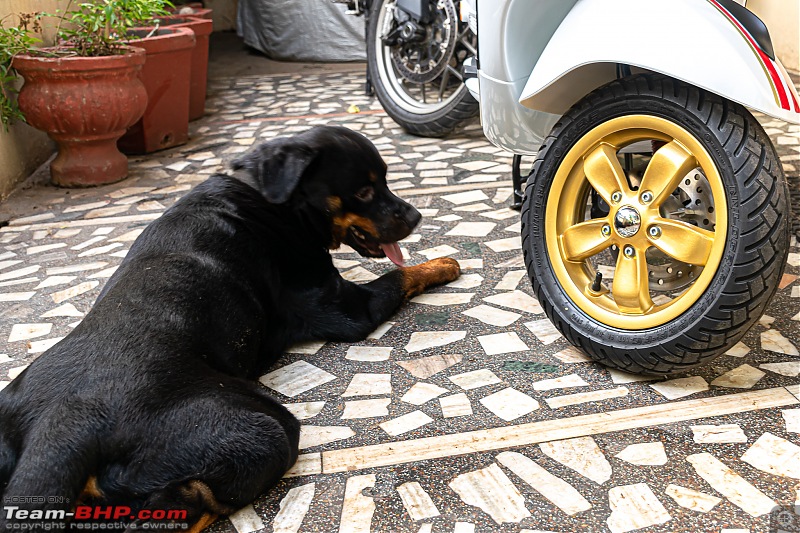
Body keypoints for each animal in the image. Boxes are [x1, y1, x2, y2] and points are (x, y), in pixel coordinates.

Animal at [0, 124, 462, 528]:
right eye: (365, 191)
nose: (416, 215)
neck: (273, 200)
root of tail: (65, 422)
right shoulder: (345, 309)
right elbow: (401, 275)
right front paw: (444, 262)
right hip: (262, 430)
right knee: (191, 502)